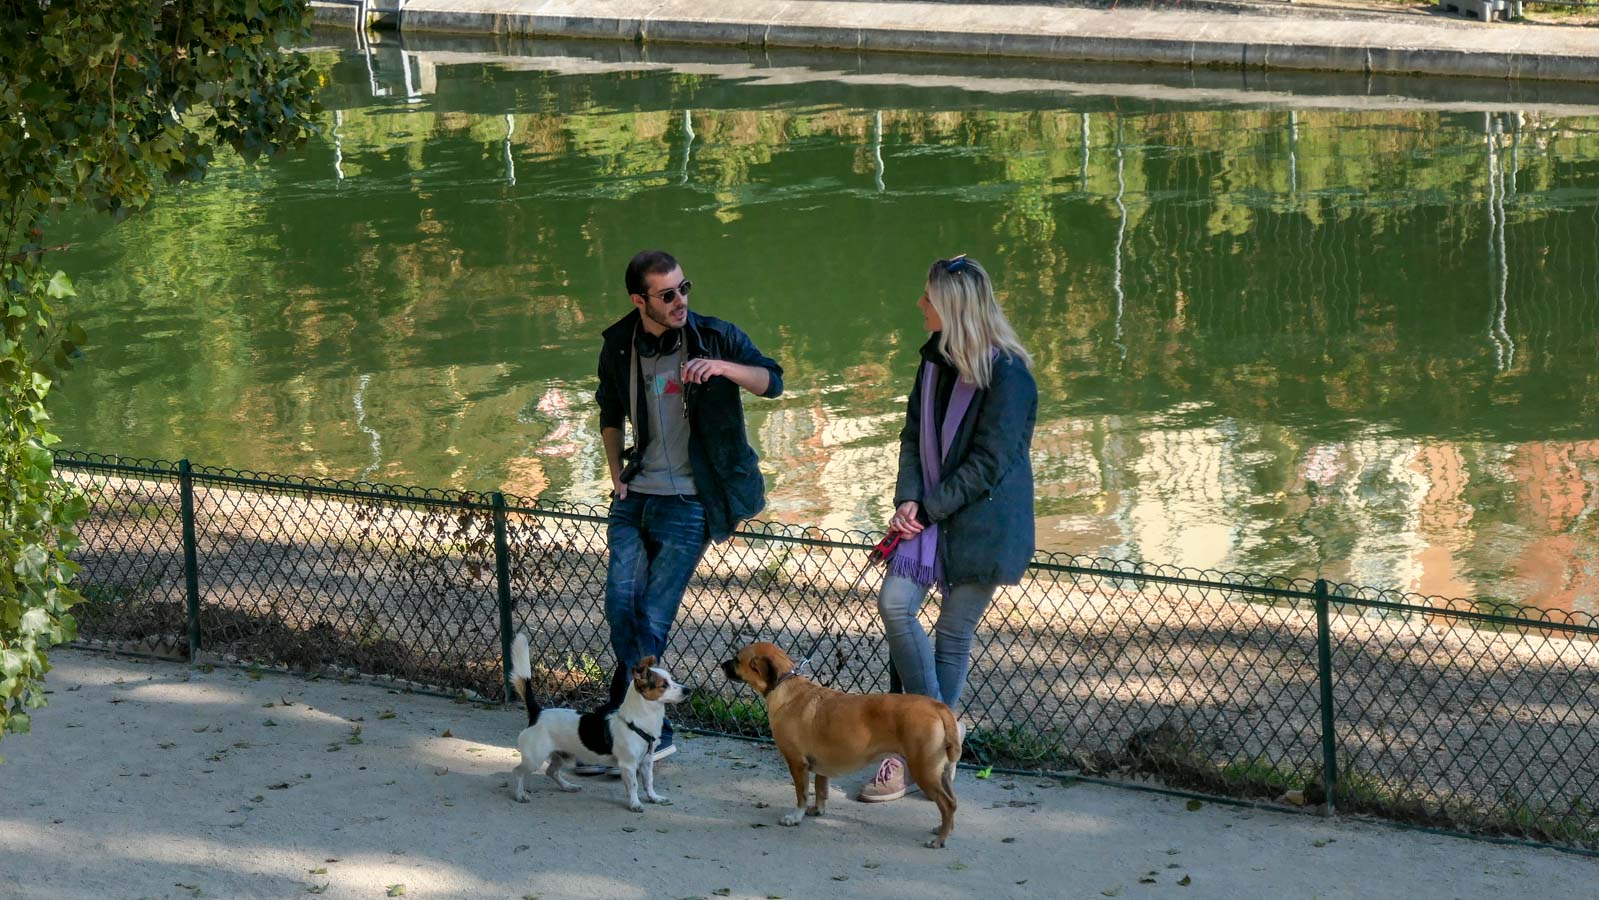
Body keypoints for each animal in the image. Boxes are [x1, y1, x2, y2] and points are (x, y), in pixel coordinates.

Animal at [509, 633, 690, 811]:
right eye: (664, 685)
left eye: (671, 680)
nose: (688, 690)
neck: (639, 722)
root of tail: (537, 712)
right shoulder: (628, 765)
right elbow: (634, 785)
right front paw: (635, 803)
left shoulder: (646, 762)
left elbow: (648, 782)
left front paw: (654, 798)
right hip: (534, 759)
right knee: (517, 772)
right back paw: (520, 795)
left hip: (561, 754)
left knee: (551, 772)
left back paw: (568, 786)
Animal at [721, 641, 961, 848]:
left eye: (737, 659)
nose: (722, 664)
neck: (786, 686)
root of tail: (938, 707)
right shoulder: (820, 766)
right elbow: (820, 789)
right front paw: (817, 809)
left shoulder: (797, 763)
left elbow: (801, 793)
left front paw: (796, 816)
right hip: (940, 773)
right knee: (952, 802)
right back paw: (943, 829)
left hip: (924, 771)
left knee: (947, 804)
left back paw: (939, 840)